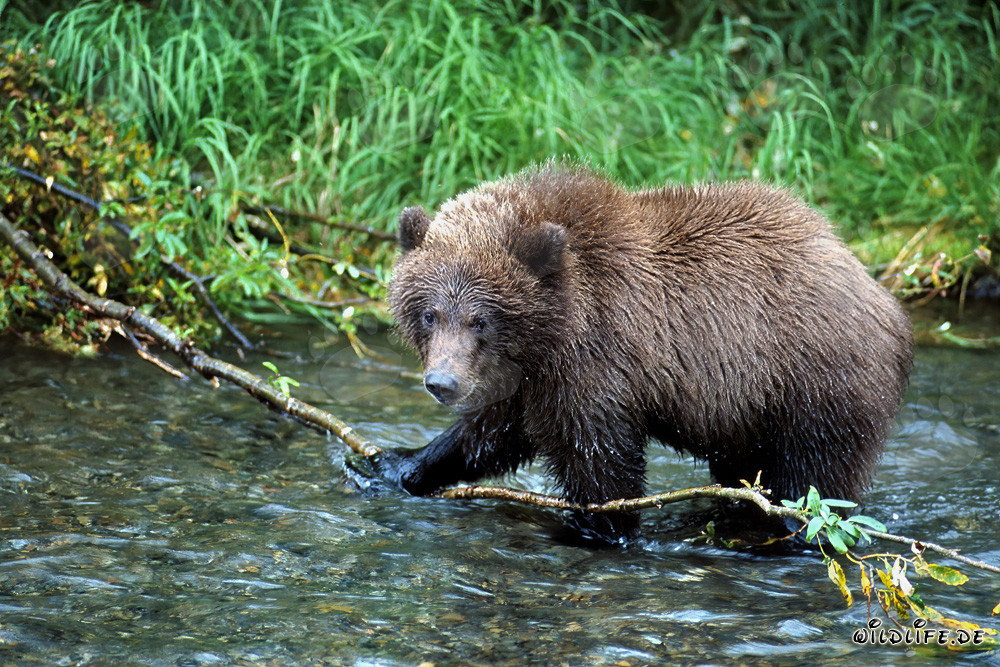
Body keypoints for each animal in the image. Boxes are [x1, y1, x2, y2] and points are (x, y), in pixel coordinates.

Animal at [376, 163, 913, 545]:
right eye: (430, 313)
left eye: (480, 320)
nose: (442, 383)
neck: (554, 331)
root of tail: (878, 292)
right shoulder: (530, 378)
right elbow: (493, 432)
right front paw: (397, 464)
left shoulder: (598, 361)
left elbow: (601, 470)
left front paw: (591, 528)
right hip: (750, 414)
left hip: (815, 385)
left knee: (814, 483)